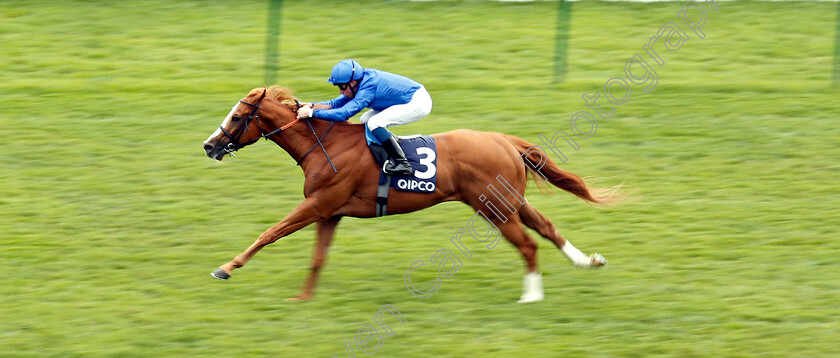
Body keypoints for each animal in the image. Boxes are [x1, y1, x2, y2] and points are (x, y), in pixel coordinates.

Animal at [205, 86, 616, 302]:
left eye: (238, 117)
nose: (210, 146)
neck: (325, 146)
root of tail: (504, 140)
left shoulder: (318, 203)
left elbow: (270, 233)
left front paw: (226, 267)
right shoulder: (330, 212)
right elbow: (318, 258)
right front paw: (304, 298)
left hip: (493, 208)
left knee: (528, 244)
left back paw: (531, 296)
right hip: (510, 201)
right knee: (547, 228)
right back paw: (588, 261)